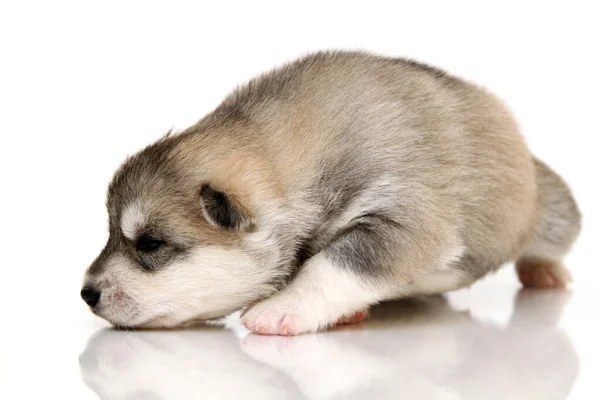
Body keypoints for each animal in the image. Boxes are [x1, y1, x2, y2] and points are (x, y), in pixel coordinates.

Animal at [81, 51, 580, 336]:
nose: (86, 294)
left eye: (150, 244)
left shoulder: (406, 218)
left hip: (554, 209)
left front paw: (282, 309)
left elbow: (334, 263)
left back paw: (545, 271)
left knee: (550, 239)